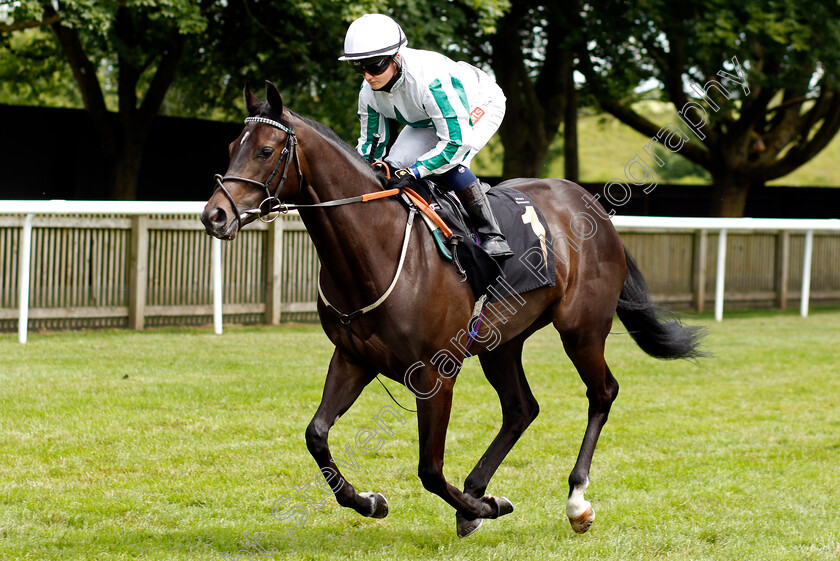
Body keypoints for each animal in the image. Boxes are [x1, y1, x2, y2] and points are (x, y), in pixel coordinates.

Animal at [200, 81, 704, 536]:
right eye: (230, 146)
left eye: (266, 151)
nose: (214, 215)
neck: (377, 246)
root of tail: (591, 204)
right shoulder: (353, 357)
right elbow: (317, 435)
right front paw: (371, 501)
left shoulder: (435, 372)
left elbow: (429, 468)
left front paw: (486, 507)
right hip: (502, 341)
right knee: (521, 408)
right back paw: (478, 490)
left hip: (582, 328)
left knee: (602, 393)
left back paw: (575, 501)